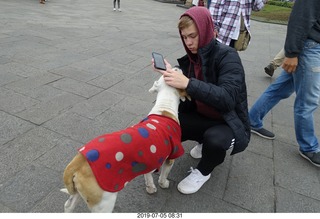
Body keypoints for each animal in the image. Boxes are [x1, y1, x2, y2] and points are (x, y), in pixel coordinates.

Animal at [61, 68, 189, 212]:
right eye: (176, 71)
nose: (177, 66)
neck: (165, 108)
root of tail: (78, 161)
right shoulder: (172, 155)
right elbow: (163, 176)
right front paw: (164, 184)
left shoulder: (149, 160)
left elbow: (148, 175)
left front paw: (150, 188)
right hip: (104, 202)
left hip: (78, 193)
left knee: (68, 206)